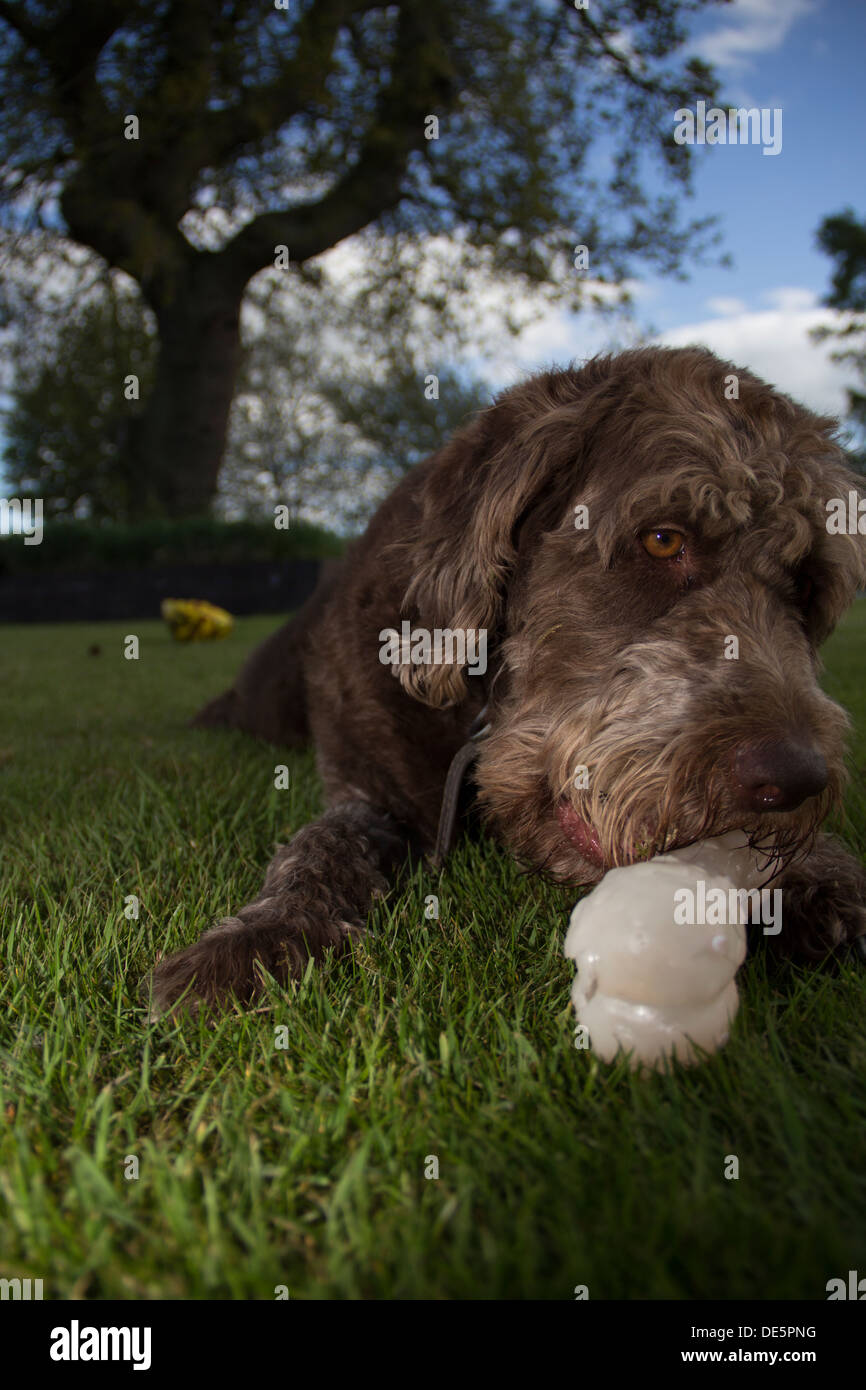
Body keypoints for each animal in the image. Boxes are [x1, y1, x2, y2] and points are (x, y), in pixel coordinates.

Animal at [150, 347, 866, 1017]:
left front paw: (822, 876)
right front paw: (261, 934)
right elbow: (321, 841)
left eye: (806, 584)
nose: (795, 779)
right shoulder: (369, 781)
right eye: (663, 540)